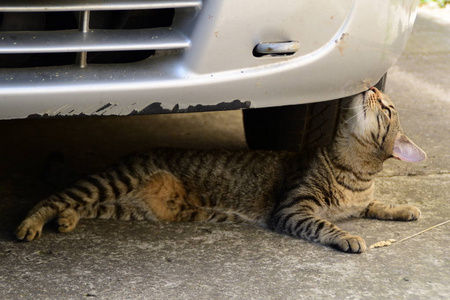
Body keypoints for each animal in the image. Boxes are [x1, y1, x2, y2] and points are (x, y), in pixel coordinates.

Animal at [16, 87, 426, 253]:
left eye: (386, 108)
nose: (372, 87)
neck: (355, 173)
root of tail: (124, 158)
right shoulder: (294, 208)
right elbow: (326, 224)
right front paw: (348, 237)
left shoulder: (358, 202)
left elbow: (378, 204)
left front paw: (404, 208)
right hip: (114, 182)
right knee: (54, 196)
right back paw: (32, 224)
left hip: (121, 206)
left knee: (78, 204)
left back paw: (67, 219)